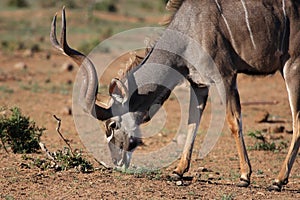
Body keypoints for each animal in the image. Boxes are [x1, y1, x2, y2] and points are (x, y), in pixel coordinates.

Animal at [51, 0, 300, 191]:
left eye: (112, 125)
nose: (117, 162)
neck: (187, 32)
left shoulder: (226, 76)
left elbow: (233, 121)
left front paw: (244, 176)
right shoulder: (199, 84)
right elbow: (192, 122)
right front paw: (178, 171)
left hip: (292, 67)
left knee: (297, 120)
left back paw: (278, 181)